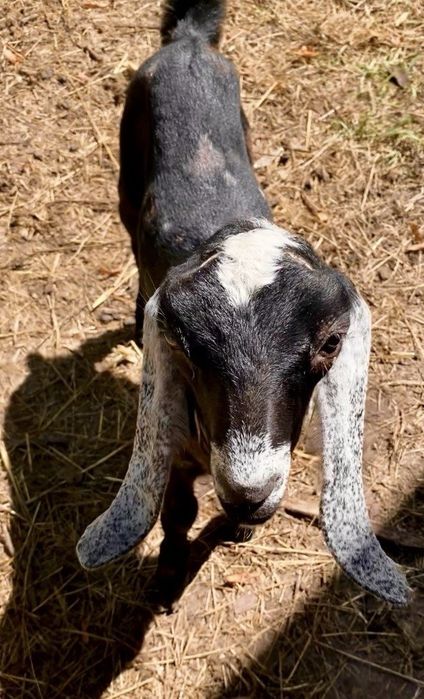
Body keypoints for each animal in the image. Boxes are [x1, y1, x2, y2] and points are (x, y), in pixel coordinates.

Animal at [77, 0, 409, 606]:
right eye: (183, 342)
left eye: (331, 343)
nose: (247, 491)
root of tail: (188, 41)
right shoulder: (178, 450)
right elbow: (178, 512)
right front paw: (167, 580)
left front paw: (236, 527)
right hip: (125, 176)